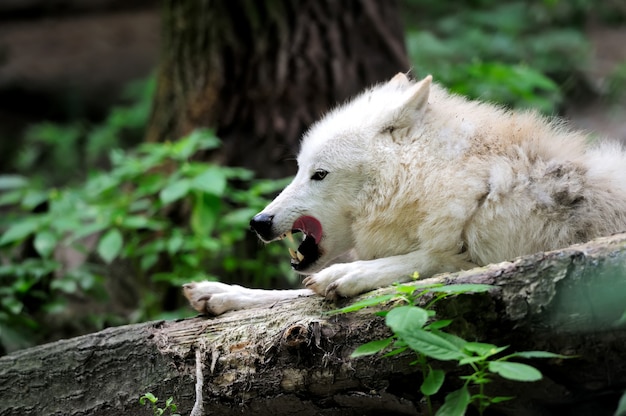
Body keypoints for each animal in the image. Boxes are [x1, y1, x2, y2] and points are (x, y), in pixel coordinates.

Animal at [183, 74, 624, 316]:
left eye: (319, 174)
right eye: (298, 169)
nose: (258, 222)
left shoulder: (500, 255)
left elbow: (428, 261)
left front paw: (349, 275)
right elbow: (290, 294)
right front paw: (220, 293)